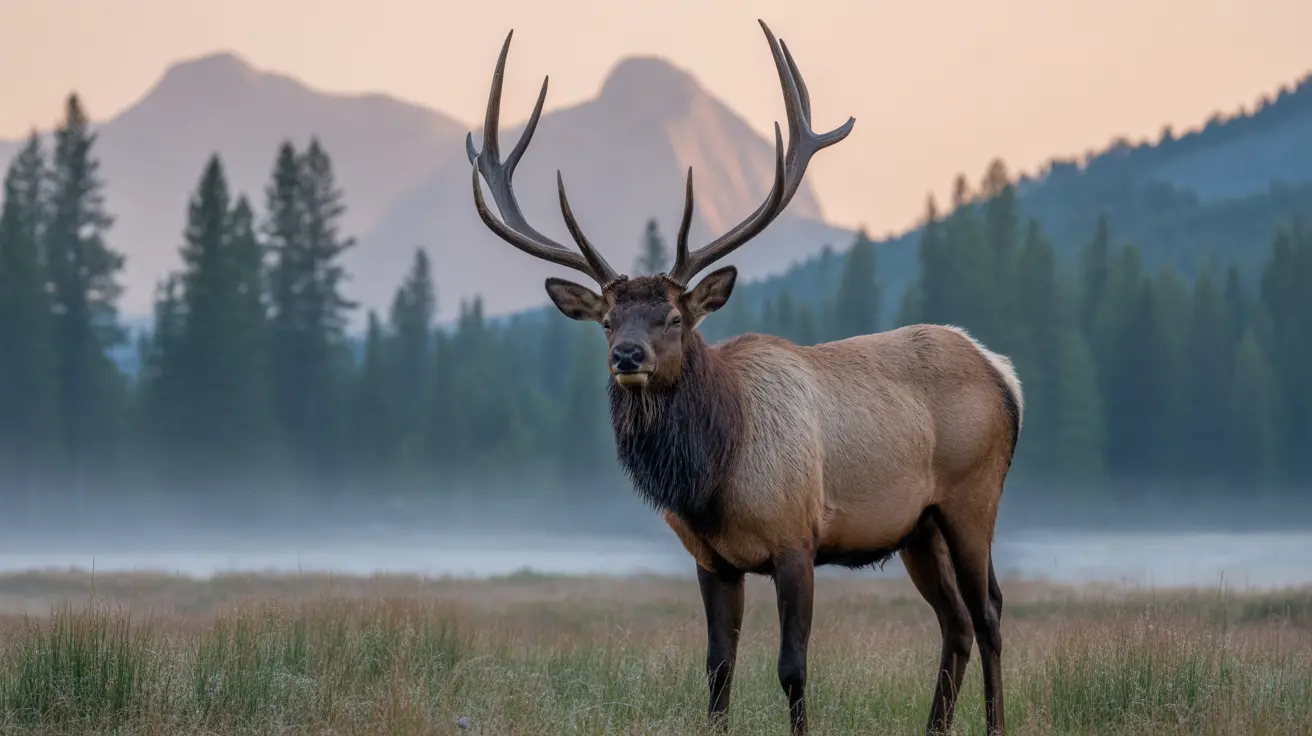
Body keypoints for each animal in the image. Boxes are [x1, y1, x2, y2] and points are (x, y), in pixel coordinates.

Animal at [464, 20, 1021, 736]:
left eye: (674, 317)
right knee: (954, 623)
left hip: (971, 496)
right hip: (917, 527)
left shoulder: (796, 541)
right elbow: (717, 669)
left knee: (989, 613)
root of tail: (1002, 372)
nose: (628, 357)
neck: (713, 475)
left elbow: (792, 668)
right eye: (607, 320)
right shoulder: (711, 559)